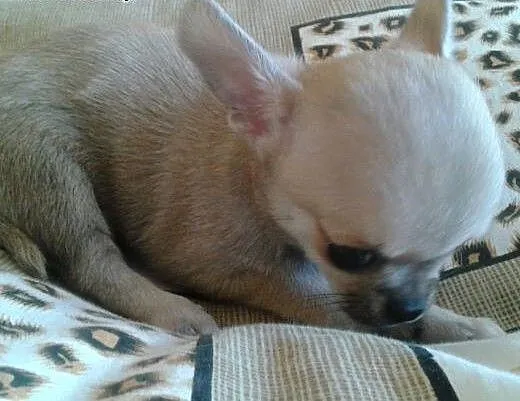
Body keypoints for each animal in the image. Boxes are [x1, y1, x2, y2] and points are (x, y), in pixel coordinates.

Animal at [0, 0, 506, 343]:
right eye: (348, 255)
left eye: (457, 250)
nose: (408, 307)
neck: (245, 167)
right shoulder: (237, 270)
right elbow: (327, 304)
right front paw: (440, 329)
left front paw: (445, 323)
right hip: (51, 168)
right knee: (89, 261)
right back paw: (169, 308)